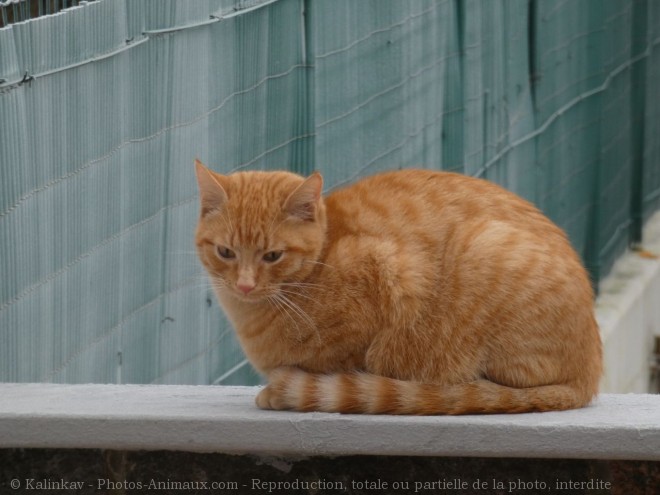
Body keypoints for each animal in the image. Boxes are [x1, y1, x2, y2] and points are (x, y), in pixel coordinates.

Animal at [193, 162, 600, 414]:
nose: (244, 285)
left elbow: (347, 371)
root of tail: (588, 377)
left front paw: (284, 392)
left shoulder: (391, 278)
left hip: (485, 247)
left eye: (273, 255)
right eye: (225, 252)